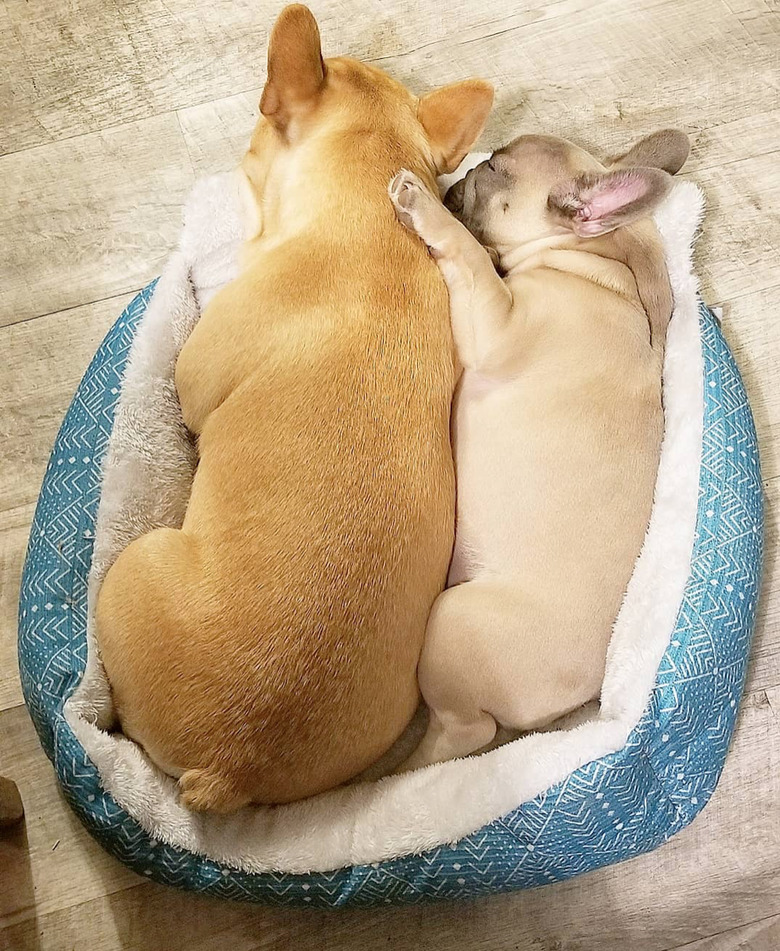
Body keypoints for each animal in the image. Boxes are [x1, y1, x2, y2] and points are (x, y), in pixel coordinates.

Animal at [390, 132, 688, 772]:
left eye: (494, 170)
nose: (454, 181)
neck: (601, 259)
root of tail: (570, 701)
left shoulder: (498, 322)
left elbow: (471, 258)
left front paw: (421, 205)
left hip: (453, 624)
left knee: (465, 735)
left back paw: (396, 777)